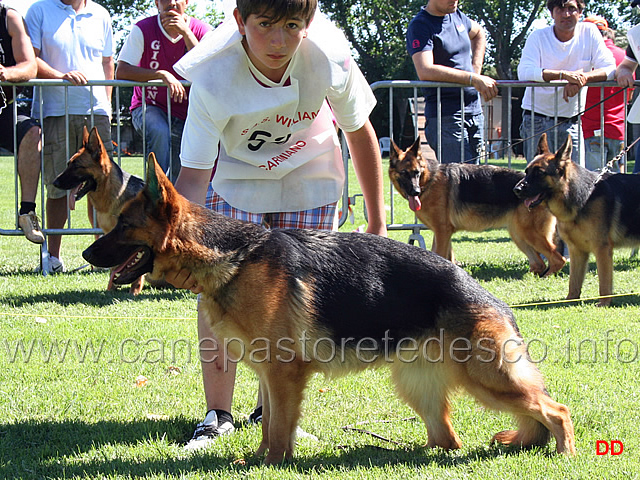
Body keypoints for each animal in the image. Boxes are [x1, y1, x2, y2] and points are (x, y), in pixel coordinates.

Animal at [53, 126, 146, 292]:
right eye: (68, 164)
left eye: (76, 166)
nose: (54, 183)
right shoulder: (111, 237)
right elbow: (115, 266)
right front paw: (111, 288)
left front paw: (133, 291)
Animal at [81, 156, 576, 464]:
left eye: (123, 226)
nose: (85, 253)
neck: (231, 255)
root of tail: (495, 301)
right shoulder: (268, 376)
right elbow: (267, 427)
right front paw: (255, 460)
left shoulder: (284, 375)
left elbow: (279, 431)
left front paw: (271, 466)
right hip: (418, 386)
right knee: (447, 440)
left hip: (488, 379)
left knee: (555, 410)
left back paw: (565, 453)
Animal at [388, 137, 564, 276]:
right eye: (404, 173)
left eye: (417, 173)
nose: (416, 192)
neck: (429, 180)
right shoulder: (443, 233)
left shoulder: (442, 231)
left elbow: (440, 255)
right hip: (519, 235)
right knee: (539, 263)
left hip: (530, 234)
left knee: (558, 259)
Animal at [512, 134, 640, 308]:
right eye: (526, 172)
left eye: (539, 173)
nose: (516, 190)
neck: (583, 197)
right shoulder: (576, 250)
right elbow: (574, 282)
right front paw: (570, 301)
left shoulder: (602, 250)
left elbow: (604, 282)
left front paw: (603, 303)